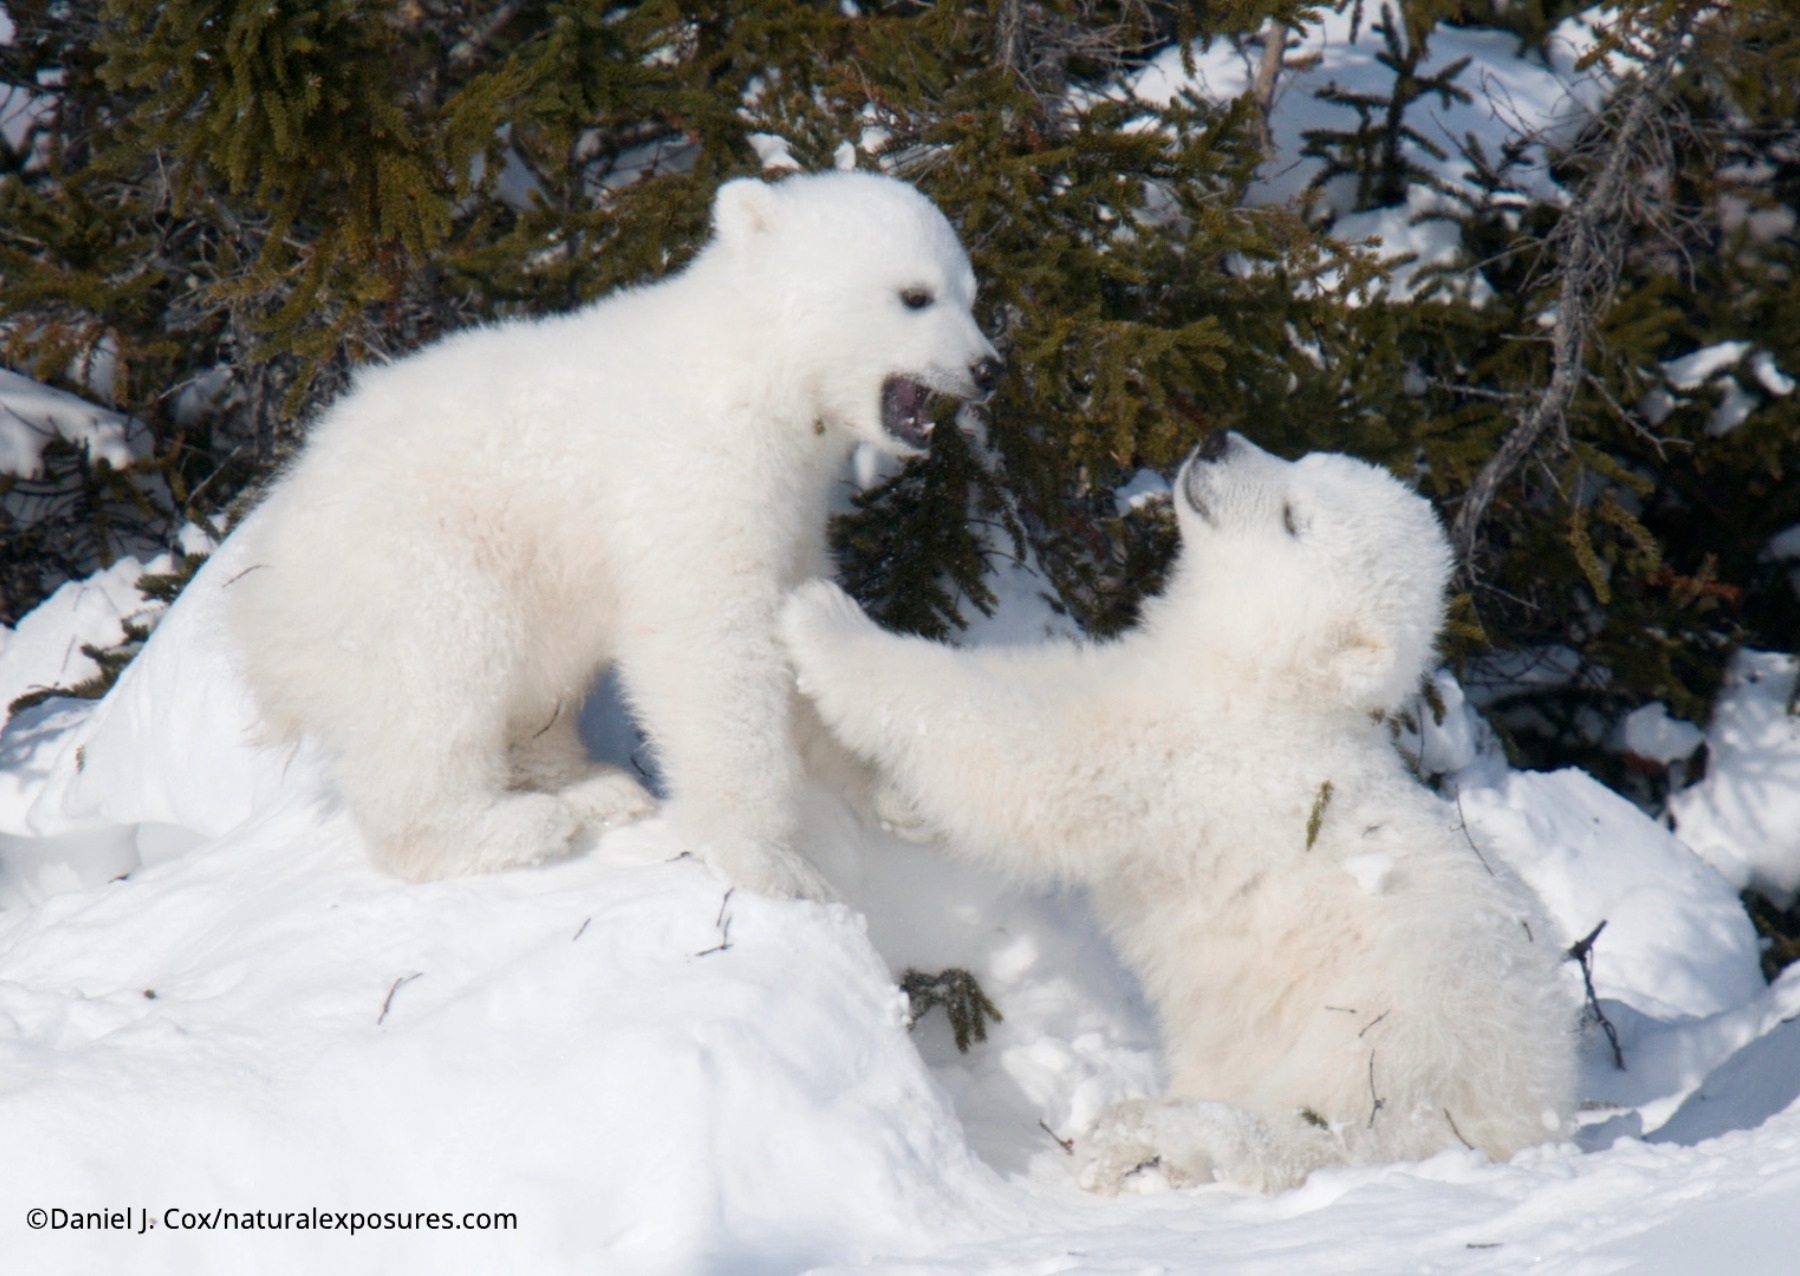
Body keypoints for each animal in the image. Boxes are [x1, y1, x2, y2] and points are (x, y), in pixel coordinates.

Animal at [229, 172, 1000, 894]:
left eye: (969, 293)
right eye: (914, 295)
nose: (988, 368)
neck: (752, 374)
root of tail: (263, 591)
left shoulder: (791, 514)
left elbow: (803, 620)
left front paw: (897, 796)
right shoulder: (692, 484)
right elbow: (707, 648)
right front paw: (773, 862)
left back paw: (591, 788)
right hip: (414, 564)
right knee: (440, 680)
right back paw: (509, 826)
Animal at [779, 429, 1578, 1192]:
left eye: (1294, 519)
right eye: (1304, 459)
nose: (1220, 440)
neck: (1271, 685)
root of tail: (1544, 1100)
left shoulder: (1186, 748)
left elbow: (1031, 752)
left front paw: (822, 617)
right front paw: (899, 804)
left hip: (1406, 1015)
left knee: (1327, 1120)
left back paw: (1143, 1134)